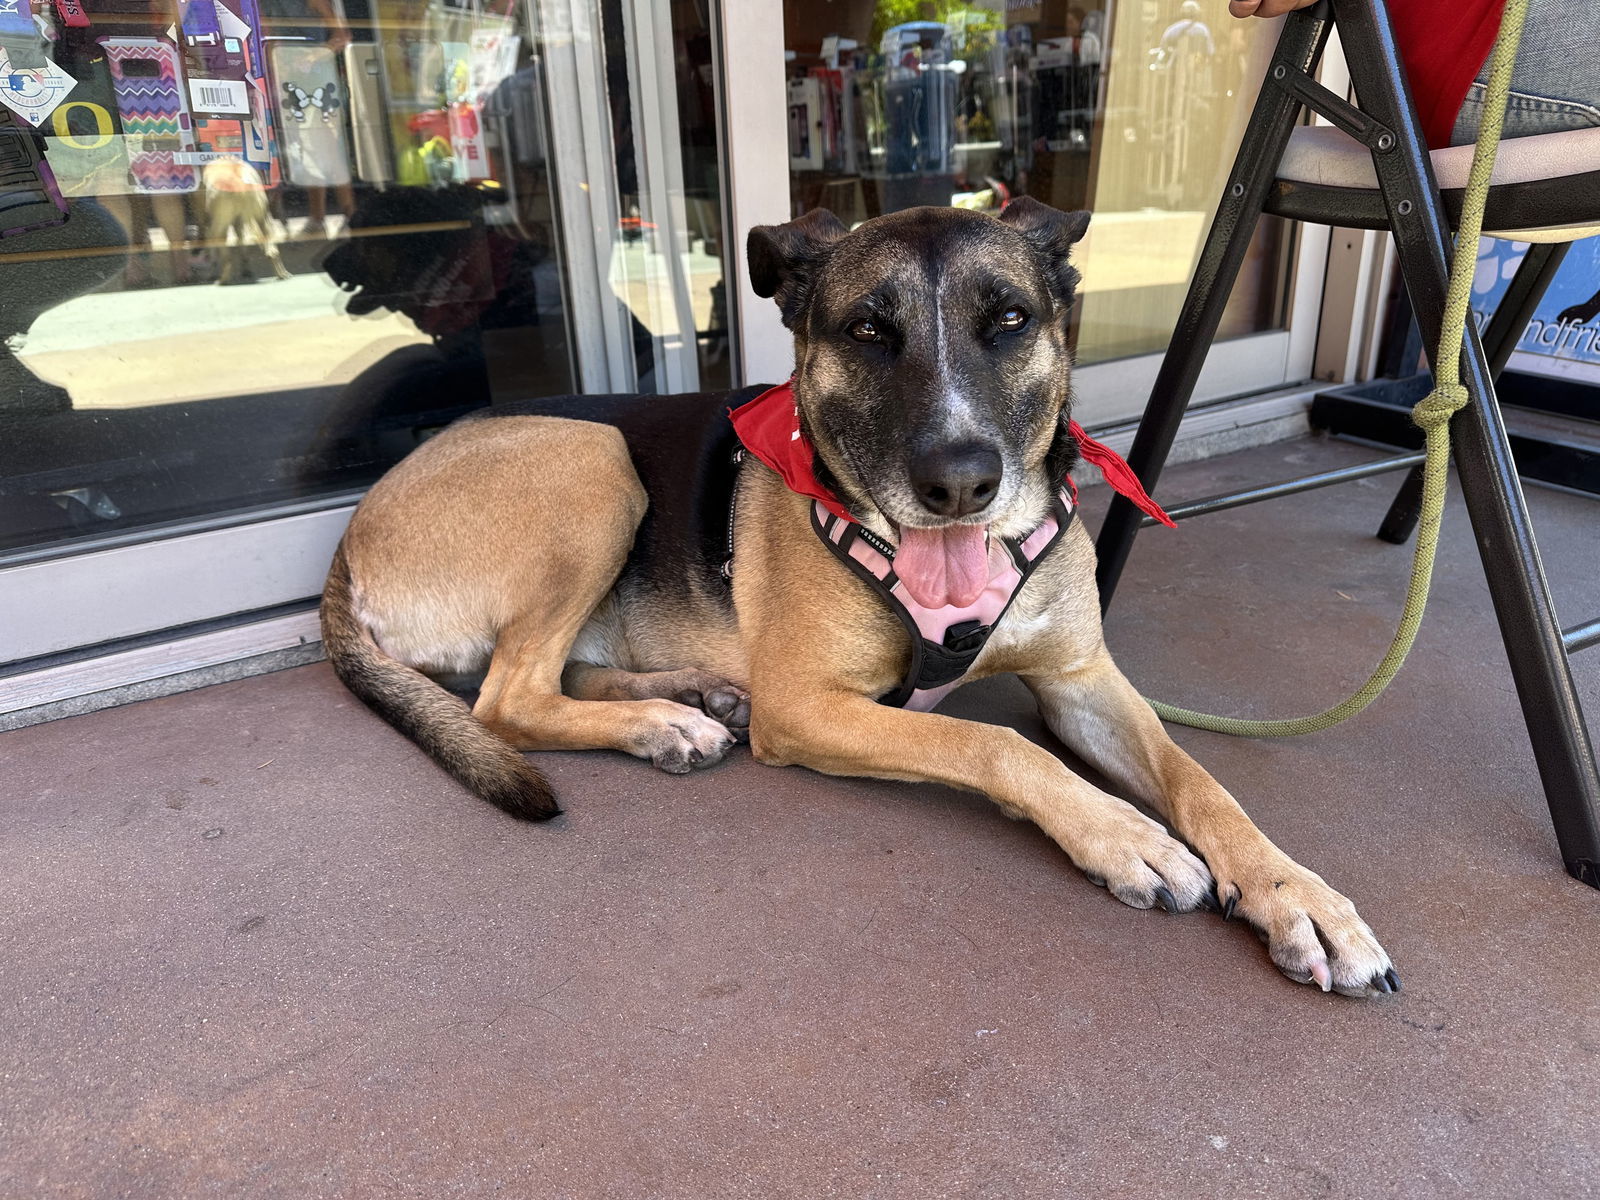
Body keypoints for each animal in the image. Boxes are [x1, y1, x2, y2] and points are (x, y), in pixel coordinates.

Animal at [201, 157, 292, 286]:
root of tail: (240, 182)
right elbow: (241, 238)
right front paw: (246, 270)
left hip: (222, 216)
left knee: (220, 242)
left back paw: (223, 279)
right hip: (262, 214)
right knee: (270, 246)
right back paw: (282, 273)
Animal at [321, 202, 1401, 998]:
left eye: (1010, 321)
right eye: (869, 332)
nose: (960, 482)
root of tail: (351, 533)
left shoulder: (1084, 680)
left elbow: (1200, 780)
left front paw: (1295, 893)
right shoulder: (810, 709)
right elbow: (993, 742)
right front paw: (1123, 834)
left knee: (554, 676)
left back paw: (682, 701)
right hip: (593, 463)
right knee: (506, 699)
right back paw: (660, 723)